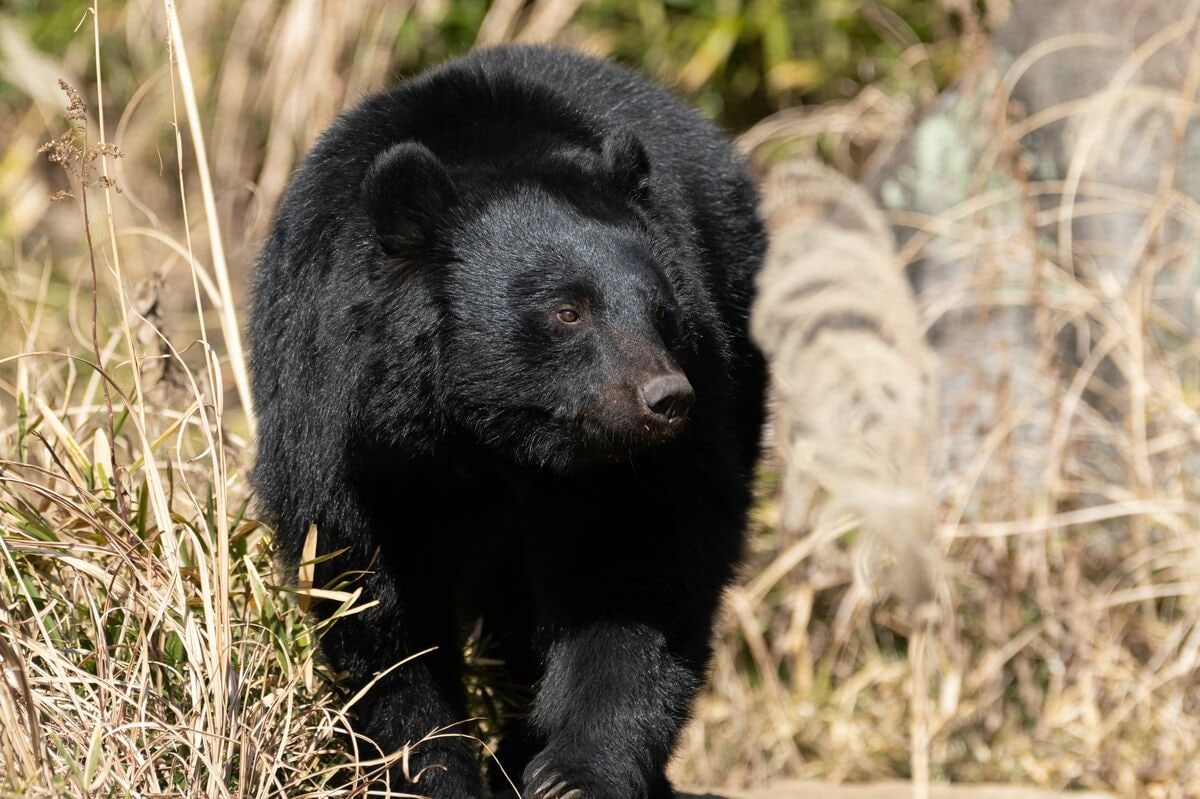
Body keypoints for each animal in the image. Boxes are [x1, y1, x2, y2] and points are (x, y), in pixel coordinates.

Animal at [249, 44, 763, 796]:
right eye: (568, 311)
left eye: (662, 309)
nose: (667, 399)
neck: (488, 438)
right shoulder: (342, 432)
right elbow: (372, 602)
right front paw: (428, 769)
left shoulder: (644, 460)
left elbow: (638, 567)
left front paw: (571, 773)